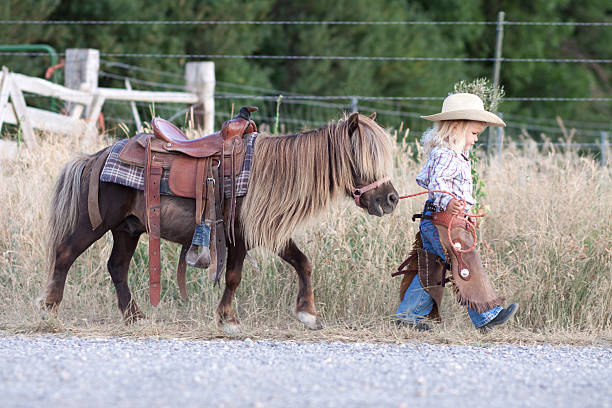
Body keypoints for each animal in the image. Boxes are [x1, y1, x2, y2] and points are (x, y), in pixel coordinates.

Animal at [38, 112, 396, 334]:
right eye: (363, 159)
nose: (391, 199)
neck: (268, 173)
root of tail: (98, 157)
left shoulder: (268, 233)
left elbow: (303, 264)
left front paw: (307, 313)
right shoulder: (238, 236)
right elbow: (234, 277)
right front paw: (228, 319)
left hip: (128, 229)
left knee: (117, 268)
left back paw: (135, 317)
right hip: (95, 224)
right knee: (65, 254)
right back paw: (49, 308)